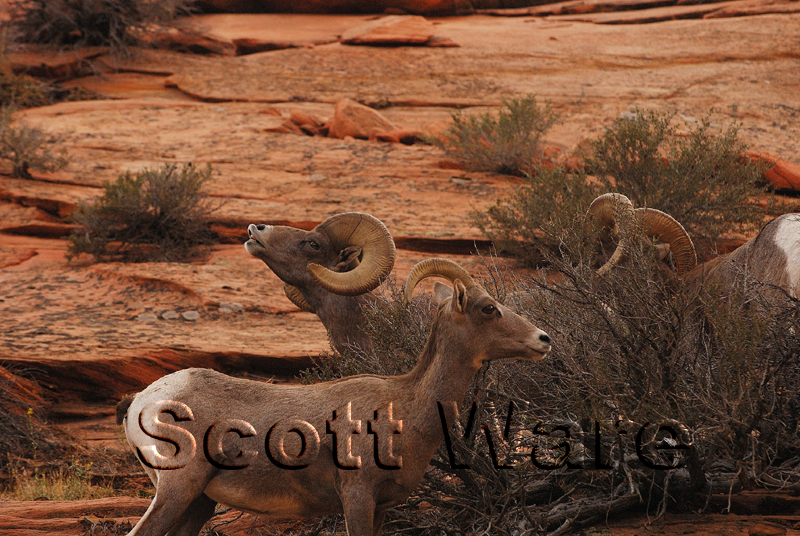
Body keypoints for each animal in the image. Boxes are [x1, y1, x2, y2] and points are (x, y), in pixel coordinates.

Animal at [117, 258, 552, 536]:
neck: (406, 409)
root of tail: (144, 401)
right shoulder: (357, 499)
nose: (543, 339)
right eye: (488, 308)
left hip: (198, 504)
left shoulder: (381, 509)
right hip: (178, 490)